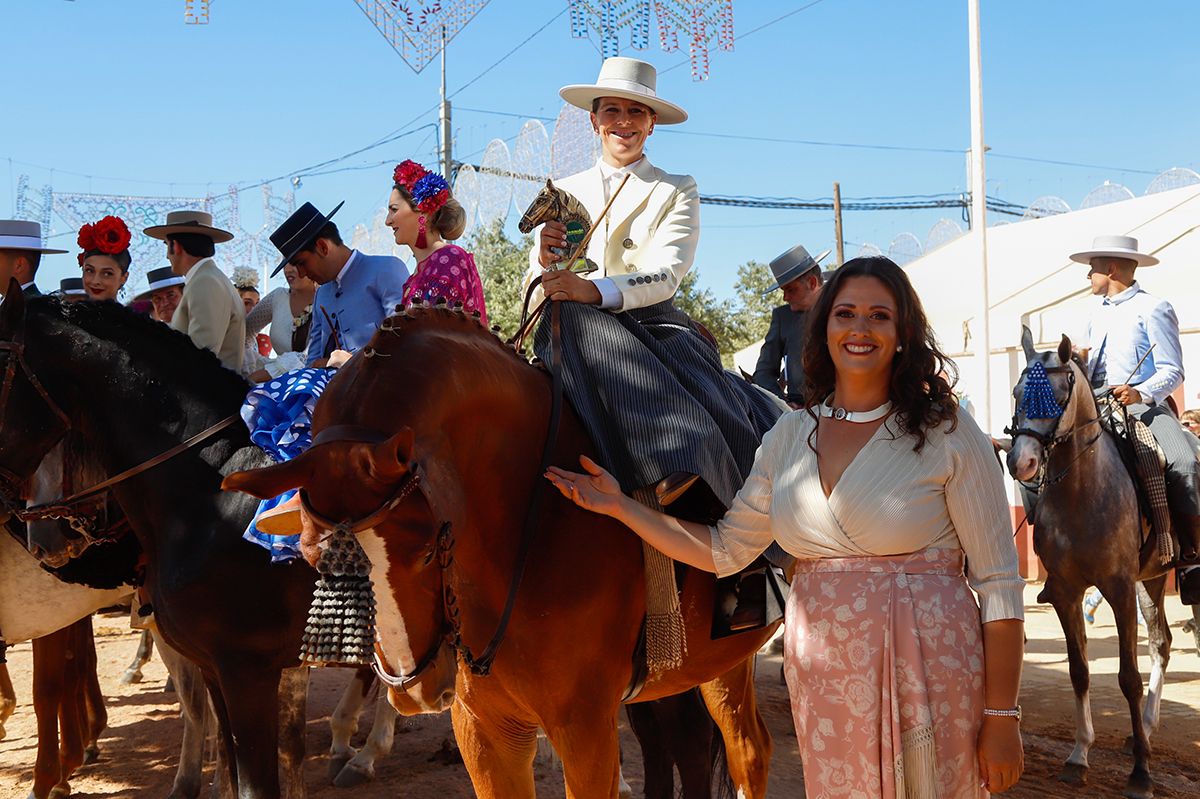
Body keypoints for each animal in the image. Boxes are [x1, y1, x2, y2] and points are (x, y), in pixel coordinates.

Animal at [225, 304, 777, 796]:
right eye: (315, 562)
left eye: (426, 551)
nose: (416, 689)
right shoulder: (485, 730)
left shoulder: (585, 728)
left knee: (743, 751)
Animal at [1003, 328, 1171, 796]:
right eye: (1017, 393)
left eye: (1058, 398)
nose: (1020, 462)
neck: (1082, 491)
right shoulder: (1066, 592)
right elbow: (1078, 670)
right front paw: (1079, 756)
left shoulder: (1118, 587)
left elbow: (1128, 678)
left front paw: (1141, 773)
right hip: (1151, 580)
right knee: (1161, 642)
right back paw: (1145, 729)